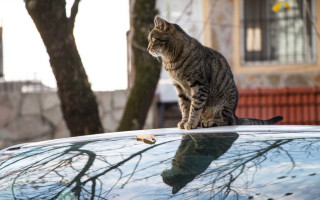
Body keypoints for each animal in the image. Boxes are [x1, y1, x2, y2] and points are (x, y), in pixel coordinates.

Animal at [148, 16, 282, 130]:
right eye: (149, 40)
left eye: (153, 40)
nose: (148, 48)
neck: (170, 61)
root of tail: (235, 114)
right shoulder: (180, 88)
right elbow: (184, 106)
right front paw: (185, 121)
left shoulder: (199, 84)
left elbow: (195, 107)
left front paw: (191, 123)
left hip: (224, 105)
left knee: (227, 121)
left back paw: (210, 121)